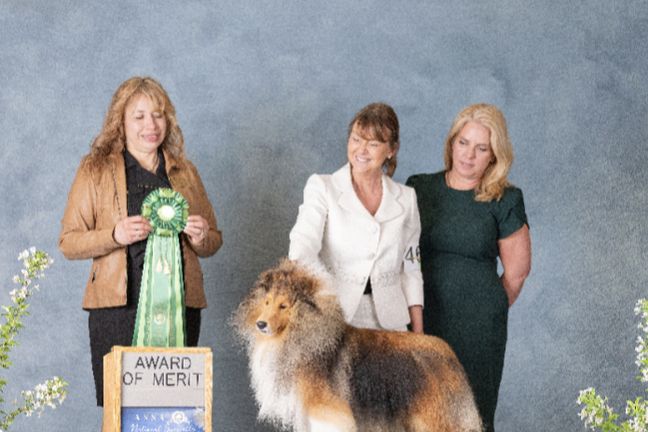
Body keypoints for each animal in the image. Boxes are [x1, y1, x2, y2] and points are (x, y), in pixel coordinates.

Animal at [233, 260, 482, 432]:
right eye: (267, 302)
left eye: (284, 306)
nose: (261, 324)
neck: (307, 335)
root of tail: (448, 353)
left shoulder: (328, 414)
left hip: (436, 417)